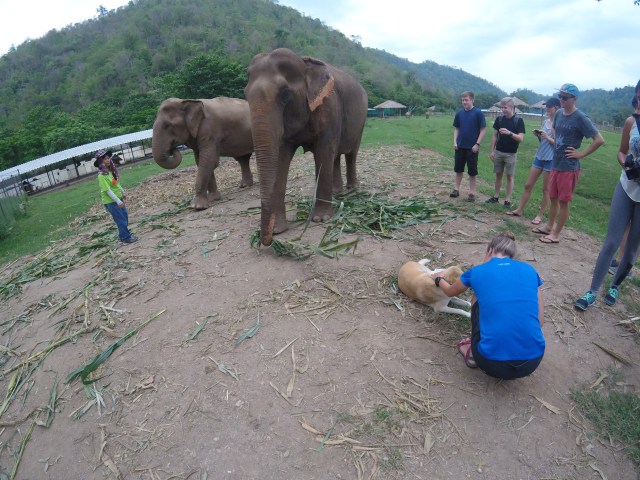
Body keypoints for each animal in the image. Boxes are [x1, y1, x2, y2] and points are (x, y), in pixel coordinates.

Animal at [244, 48, 368, 246]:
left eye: (285, 94)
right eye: (245, 95)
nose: (267, 241)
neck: (304, 62)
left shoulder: (329, 106)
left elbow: (323, 152)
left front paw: (321, 219)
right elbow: (281, 158)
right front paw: (278, 229)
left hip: (361, 121)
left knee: (350, 154)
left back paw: (352, 189)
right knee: (335, 156)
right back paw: (336, 192)